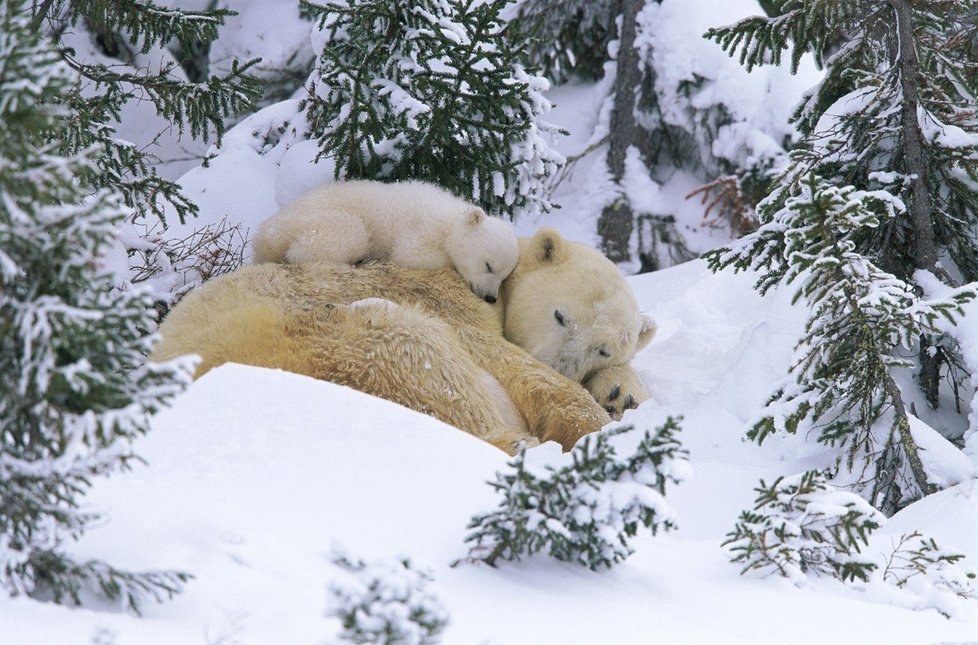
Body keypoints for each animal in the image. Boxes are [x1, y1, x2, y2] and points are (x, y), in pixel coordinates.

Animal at [154, 229, 656, 450]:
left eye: (604, 347)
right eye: (559, 315)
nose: (562, 363)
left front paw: (620, 392)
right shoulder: (445, 299)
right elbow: (506, 361)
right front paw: (595, 427)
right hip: (328, 335)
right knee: (426, 365)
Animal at [250, 180, 520, 304]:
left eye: (504, 275)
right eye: (488, 266)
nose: (491, 298)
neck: (449, 220)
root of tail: (264, 234)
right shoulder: (419, 231)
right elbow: (411, 254)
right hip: (319, 221)